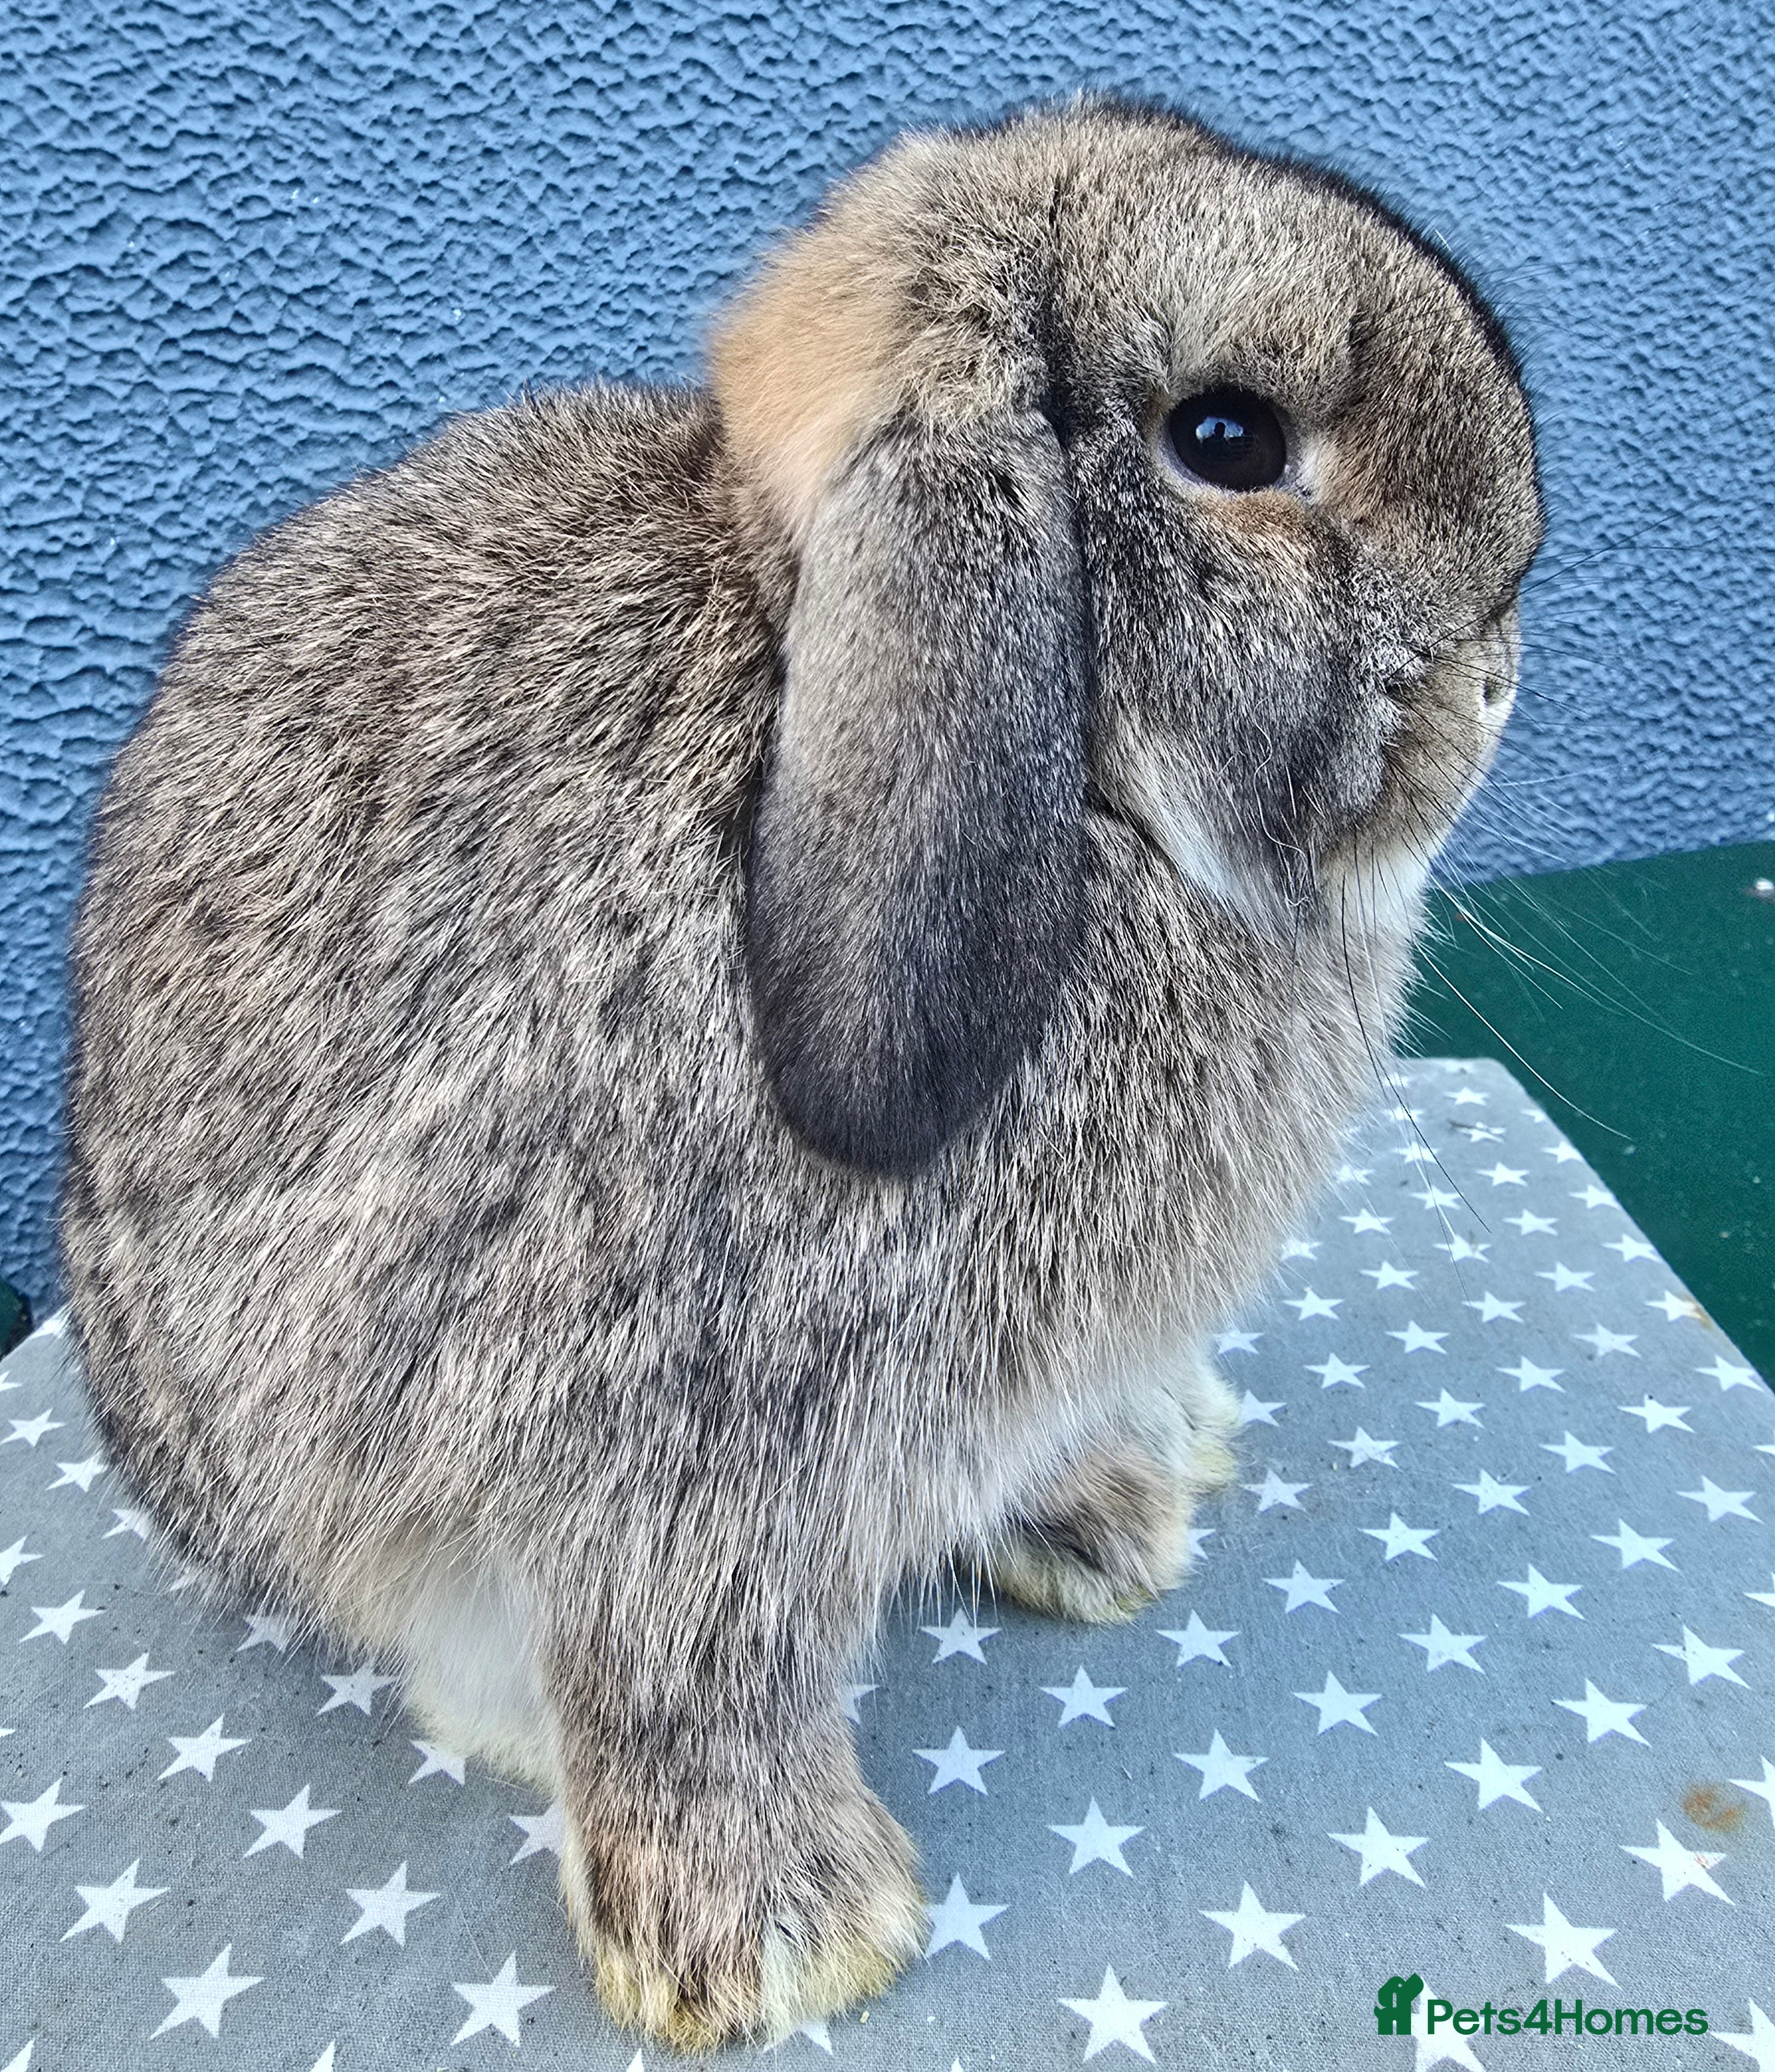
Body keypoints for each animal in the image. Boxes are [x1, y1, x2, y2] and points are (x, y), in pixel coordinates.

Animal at [61, 95, 1541, 2052]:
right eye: (1227, 438)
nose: (1497, 676)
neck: (1088, 805)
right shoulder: (667, 1458)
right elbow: (689, 1684)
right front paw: (782, 1940)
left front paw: (1105, 1522)